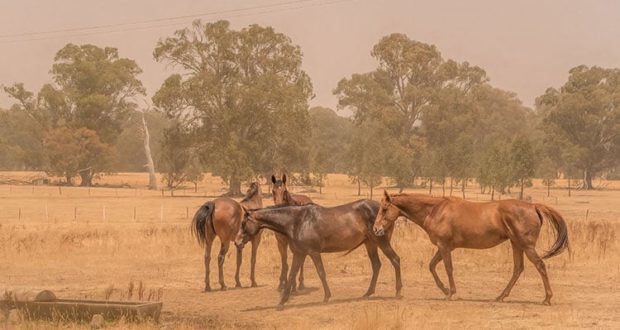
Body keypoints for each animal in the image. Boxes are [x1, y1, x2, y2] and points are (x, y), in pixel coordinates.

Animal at [235, 199, 404, 310]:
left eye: (243, 223)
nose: (237, 242)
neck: (297, 221)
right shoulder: (299, 253)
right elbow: (291, 275)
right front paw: (282, 302)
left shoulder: (313, 252)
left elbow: (321, 273)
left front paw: (326, 297)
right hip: (370, 244)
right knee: (376, 265)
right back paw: (368, 293)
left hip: (381, 242)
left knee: (395, 260)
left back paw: (398, 292)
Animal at [370, 192, 568, 306]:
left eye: (385, 208)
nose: (376, 229)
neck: (435, 210)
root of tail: (533, 206)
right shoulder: (444, 247)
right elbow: (432, 266)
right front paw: (445, 290)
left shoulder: (444, 246)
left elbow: (448, 268)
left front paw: (451, 293)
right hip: (516, 244)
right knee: (518, 269)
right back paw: (501, 296)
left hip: (526, 246)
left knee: (540, 266)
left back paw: (547, 298)